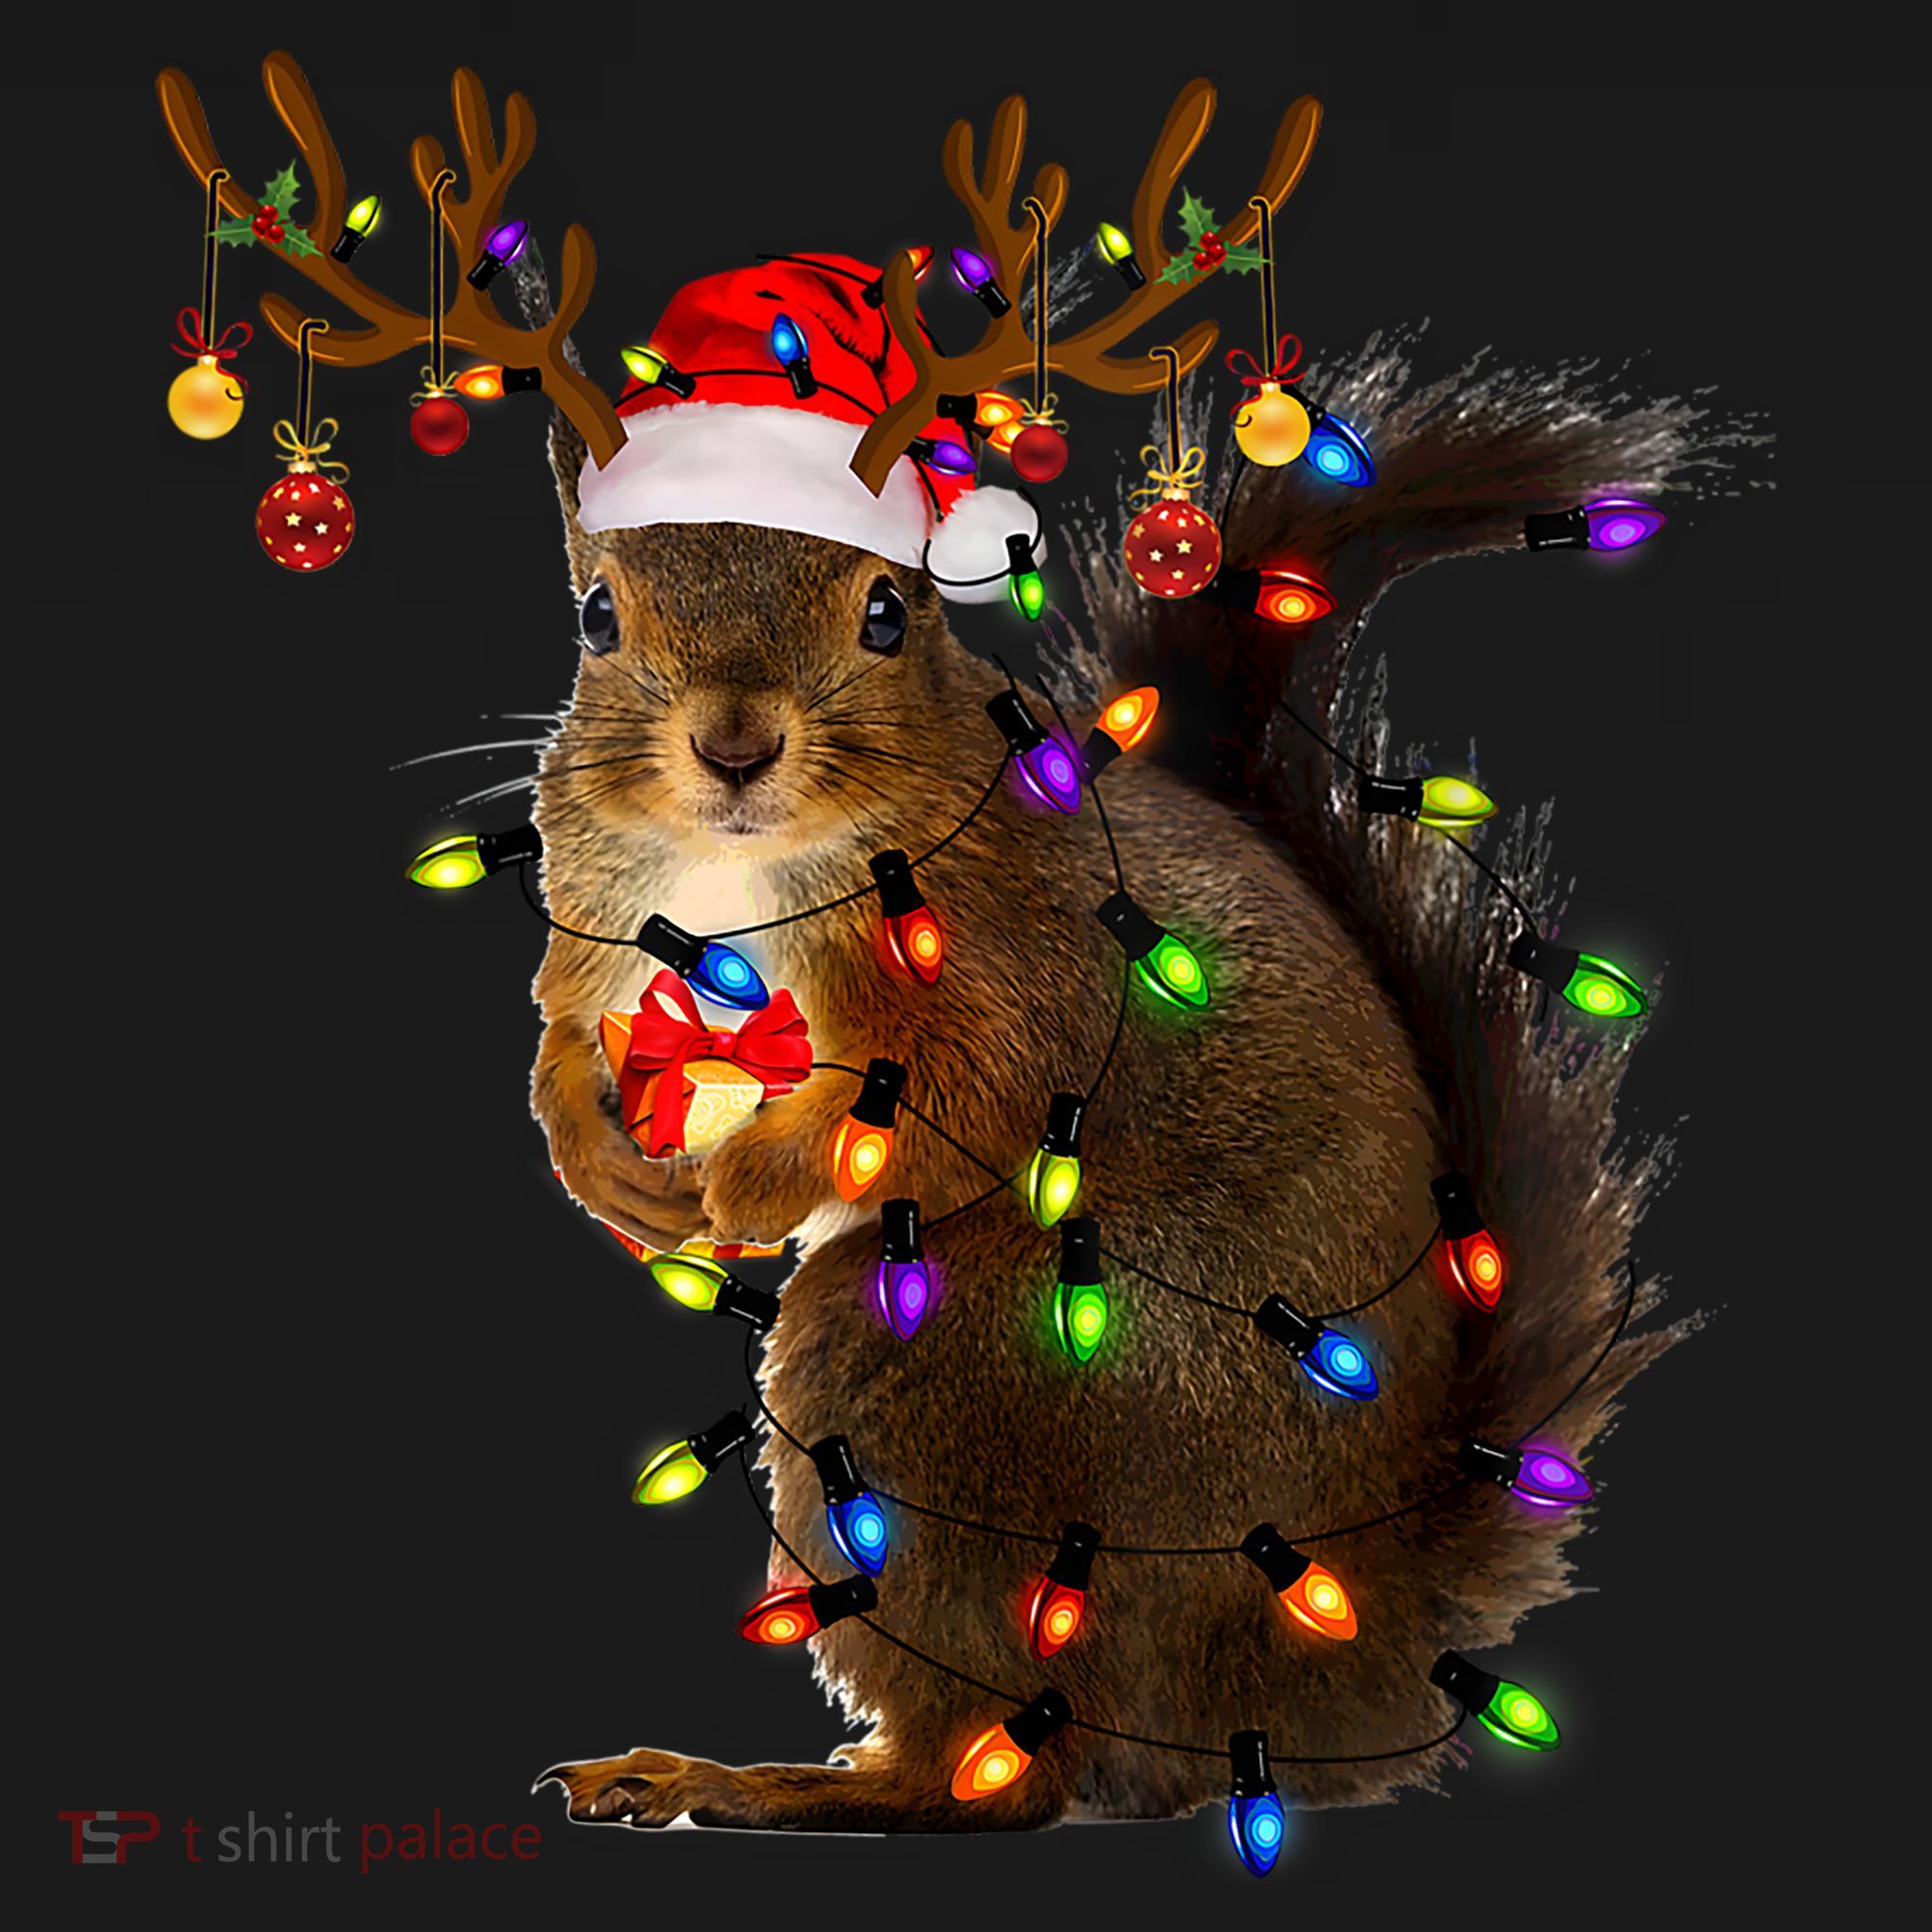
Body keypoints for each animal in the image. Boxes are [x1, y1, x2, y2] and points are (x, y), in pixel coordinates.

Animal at [527, 337, 1707, 1833]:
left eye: (887, 615)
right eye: (594, 615)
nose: (733, 751)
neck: (743, 871)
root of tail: (1310, 1670)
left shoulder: (1015, 951)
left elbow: (960, 1102)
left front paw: (749, 1175)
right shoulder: (600, 911)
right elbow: (564, 1033)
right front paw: (601, 1161)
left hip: (936, 1380)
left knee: (1001, 1781)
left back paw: (747, 1780)